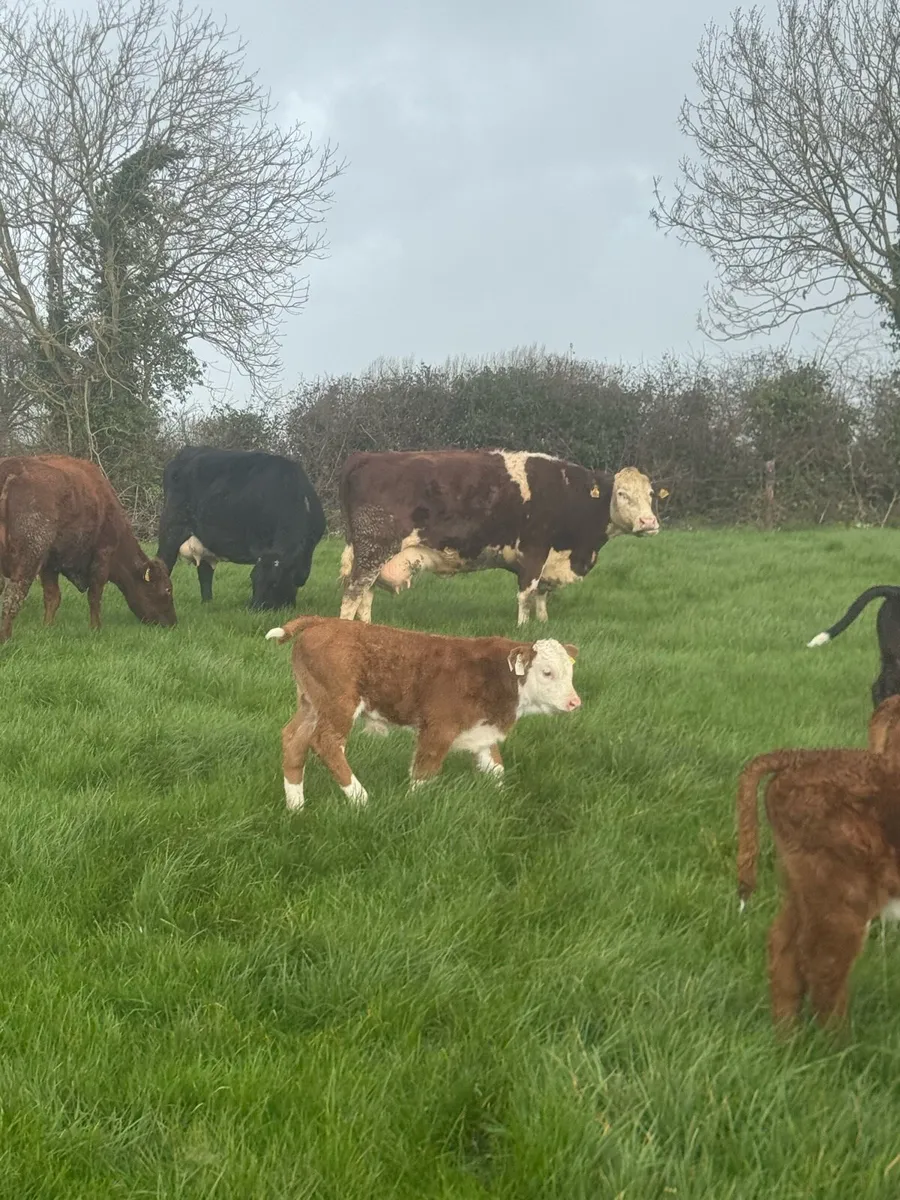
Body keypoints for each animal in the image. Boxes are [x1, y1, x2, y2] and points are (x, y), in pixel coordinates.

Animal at [0, 454, 176, 642]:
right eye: (167, 589)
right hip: (28, 558)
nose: (173, 623)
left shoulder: (49, 564)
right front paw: (96, 628)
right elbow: (94, 595)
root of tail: (11, 469)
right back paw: (6, 637)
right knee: (13, 597)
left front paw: (47, 627)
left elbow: (52, 597)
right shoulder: (102, 555)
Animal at [156, 446, 326, 611]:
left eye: (275, 583)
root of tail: (185, 452)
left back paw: (208, 603)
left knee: (205, 572)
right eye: (253, 579)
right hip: (171, 528)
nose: (254, 608)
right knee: (164, 562)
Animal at [265, 614, 581, 810]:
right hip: (339, 703)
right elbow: (423, 774)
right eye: (547, 672)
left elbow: (496, 769)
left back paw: (296, 807)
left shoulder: (482, 730)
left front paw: (504, 801)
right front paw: (413, 807)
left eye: (570, 672)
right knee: (326, 743)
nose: (574, 702)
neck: (494, 675)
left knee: (294, 740)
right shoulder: (437, 729)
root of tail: (323, 621)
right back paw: (361, 799)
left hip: (311, 703)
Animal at [337, 449, 659, 625]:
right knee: (353, 594)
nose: (649, 522)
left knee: (366, 594)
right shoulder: (534, 550)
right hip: (374, 549)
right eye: (622, 494)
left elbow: (542, 594)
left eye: (651, 494)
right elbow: (526, 594)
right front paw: (523, 628)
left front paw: (544, 622)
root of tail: (364, 457)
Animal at [736, 694, 900, 1032]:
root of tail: (801, 757)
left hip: (805, 886)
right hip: (841, 894)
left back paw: (788, 1035)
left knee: (784, 948)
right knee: (822, 966)